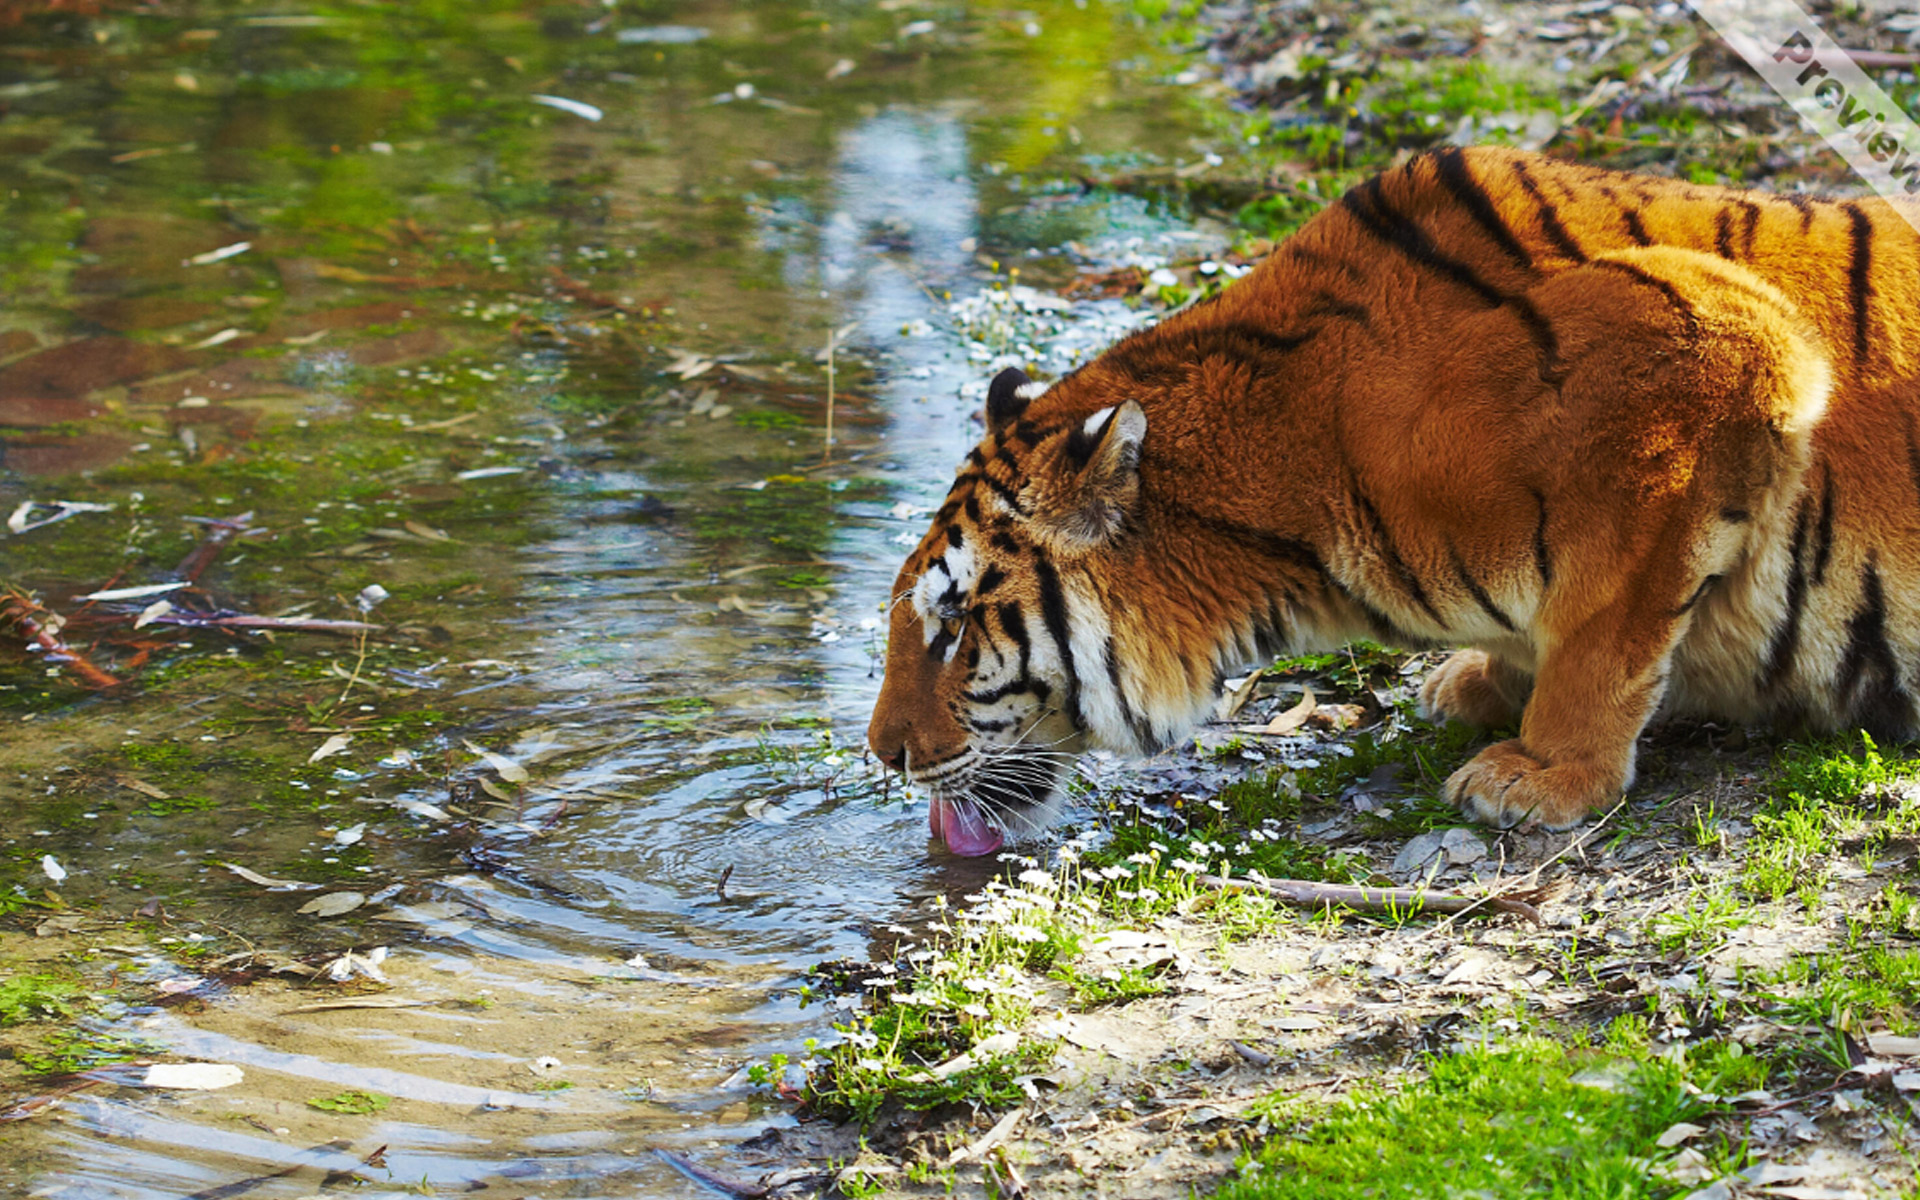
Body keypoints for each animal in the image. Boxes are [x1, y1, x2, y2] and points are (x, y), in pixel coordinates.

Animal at [867, 144, 1920, 852]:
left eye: (954, 627)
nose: (885, 756)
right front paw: (1481, 684)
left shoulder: (1722, 336)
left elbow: (1605, 624)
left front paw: (1544, 773)